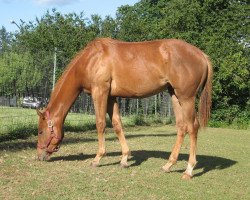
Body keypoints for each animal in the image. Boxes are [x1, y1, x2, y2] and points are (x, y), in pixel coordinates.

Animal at [36, 38, 213, 180]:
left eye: (40, 131)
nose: (39, 156)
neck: (92, 59)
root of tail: (202, 55)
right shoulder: (111, 97)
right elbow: (117, 125)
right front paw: (124, 159)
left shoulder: (100, 91)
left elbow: (100, 124)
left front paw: (97, 158)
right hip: (175, 95)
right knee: (181, 127)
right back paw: (168, 165)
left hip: (186, 98)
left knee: (192, 127)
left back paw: (189, 170)